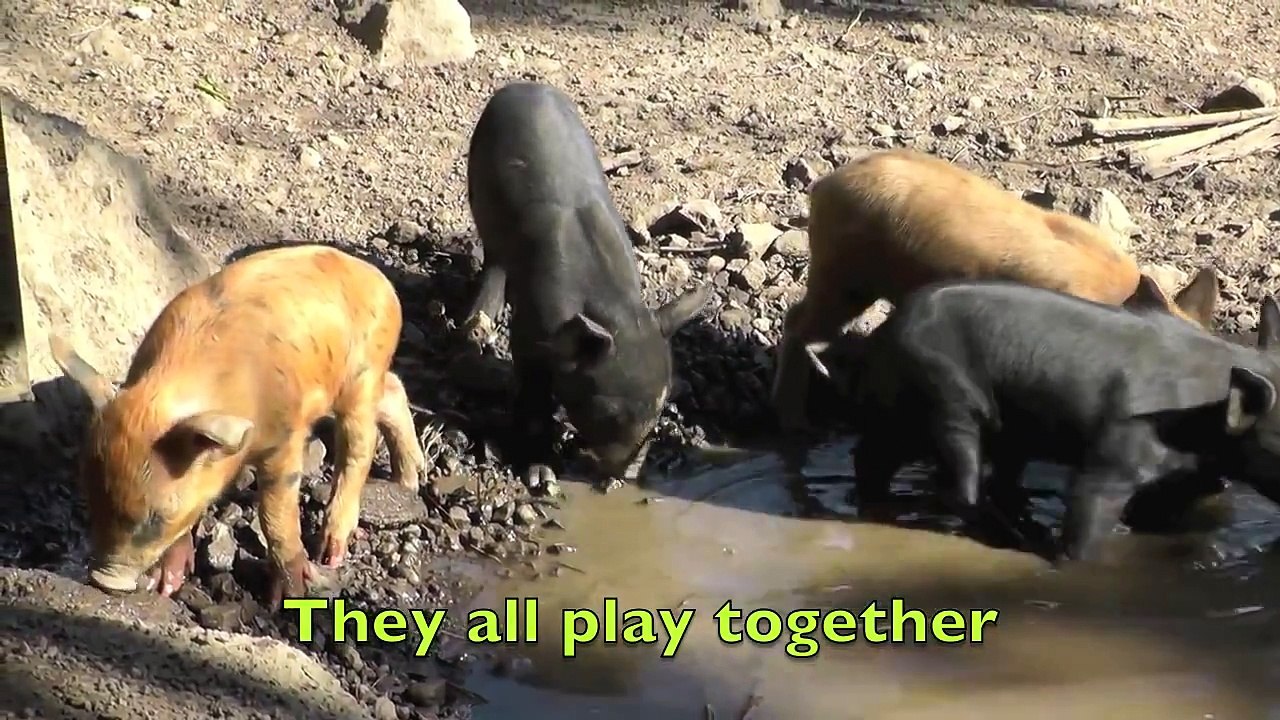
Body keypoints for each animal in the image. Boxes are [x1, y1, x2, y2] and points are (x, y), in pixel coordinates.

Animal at [50, 244, 428, 607]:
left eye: (155, 517)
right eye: (92, 499)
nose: (104, 581)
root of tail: (378, 279)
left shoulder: (284, 438)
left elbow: (275, 515)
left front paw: (287, 599)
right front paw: (165, 587)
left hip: (363, 374)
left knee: (360, 444)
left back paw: (332, 554)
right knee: (394, 391)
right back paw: (407, 482)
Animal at [462, 81, 711, 485]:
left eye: (658, 408)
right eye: (609, 412)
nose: (625, 475)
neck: (611, 308)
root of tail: (523, 85)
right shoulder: (528, 333)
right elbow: (532, 398)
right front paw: (542, 478)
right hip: (478, 190)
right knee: (493, 257)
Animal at [846, 278, 1280, 562]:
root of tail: (884, 334)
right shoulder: (1112, 457)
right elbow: (1086, 521)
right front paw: (1073, 561)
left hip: (918, 418)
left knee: (871, 458)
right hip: (948, 398)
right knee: (960, 486)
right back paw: (1026, 541)